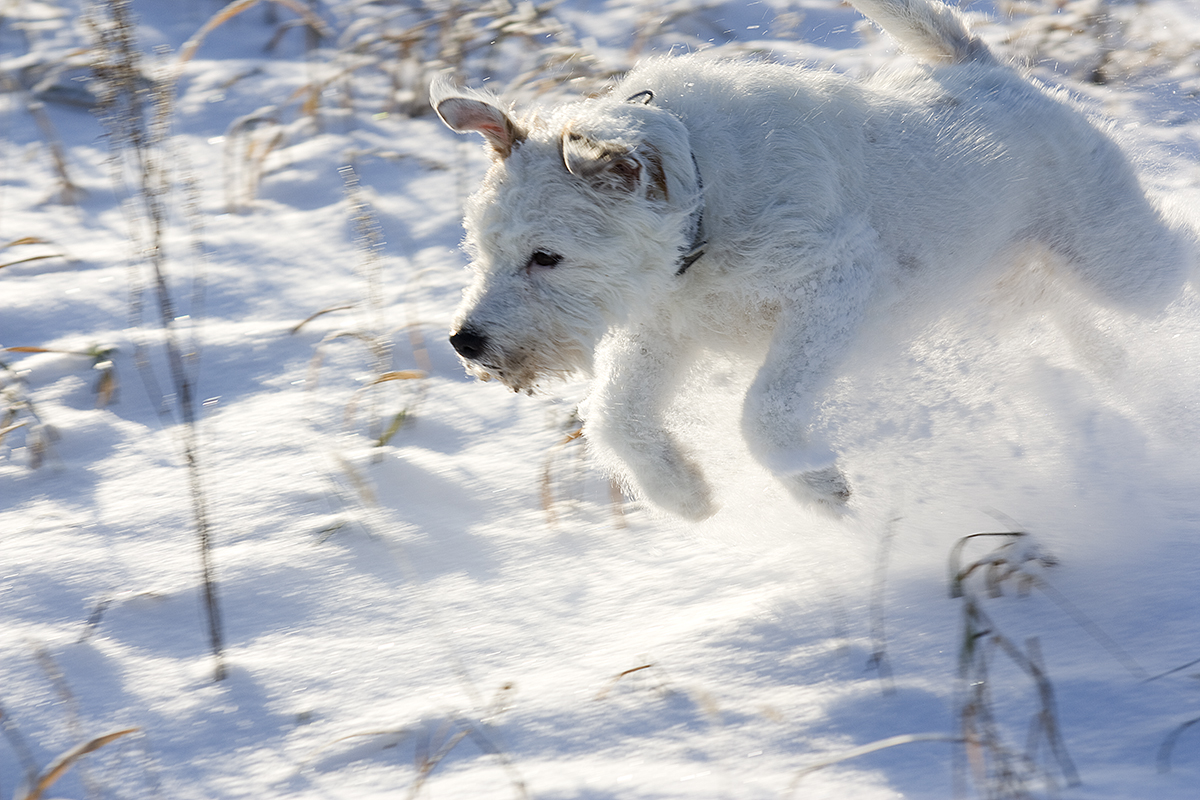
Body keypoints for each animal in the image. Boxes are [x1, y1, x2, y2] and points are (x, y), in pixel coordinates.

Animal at [436, 0, 1195, 520]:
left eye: (546, 256)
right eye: (483, 249)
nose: (465, 342)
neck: (705, 199)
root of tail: (986, 70)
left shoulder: (832, 288)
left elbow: (764, 411)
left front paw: (818, 485)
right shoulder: (663, 330)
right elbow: (615, 418)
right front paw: (684, 495)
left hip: (1117, 261)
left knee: (1175, 260)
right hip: (1008, 288)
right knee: (1068, 315)